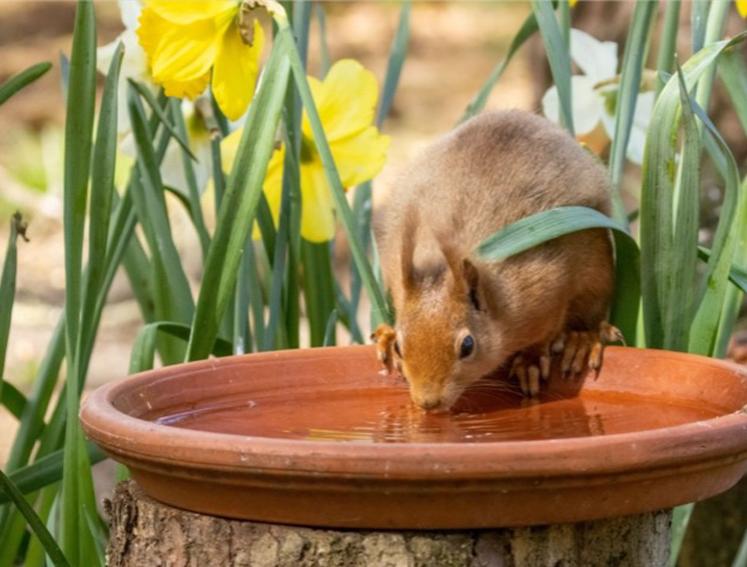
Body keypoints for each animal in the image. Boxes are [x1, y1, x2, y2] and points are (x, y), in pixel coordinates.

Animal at [372, 110, 622, 411]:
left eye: (467, 346)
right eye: (401, 346)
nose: (427, 403)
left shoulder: (544, 286)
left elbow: (546, 331)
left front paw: (530, 361)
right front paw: (388, 339)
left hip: (597, 269)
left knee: (590, 315)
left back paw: (582, 340)